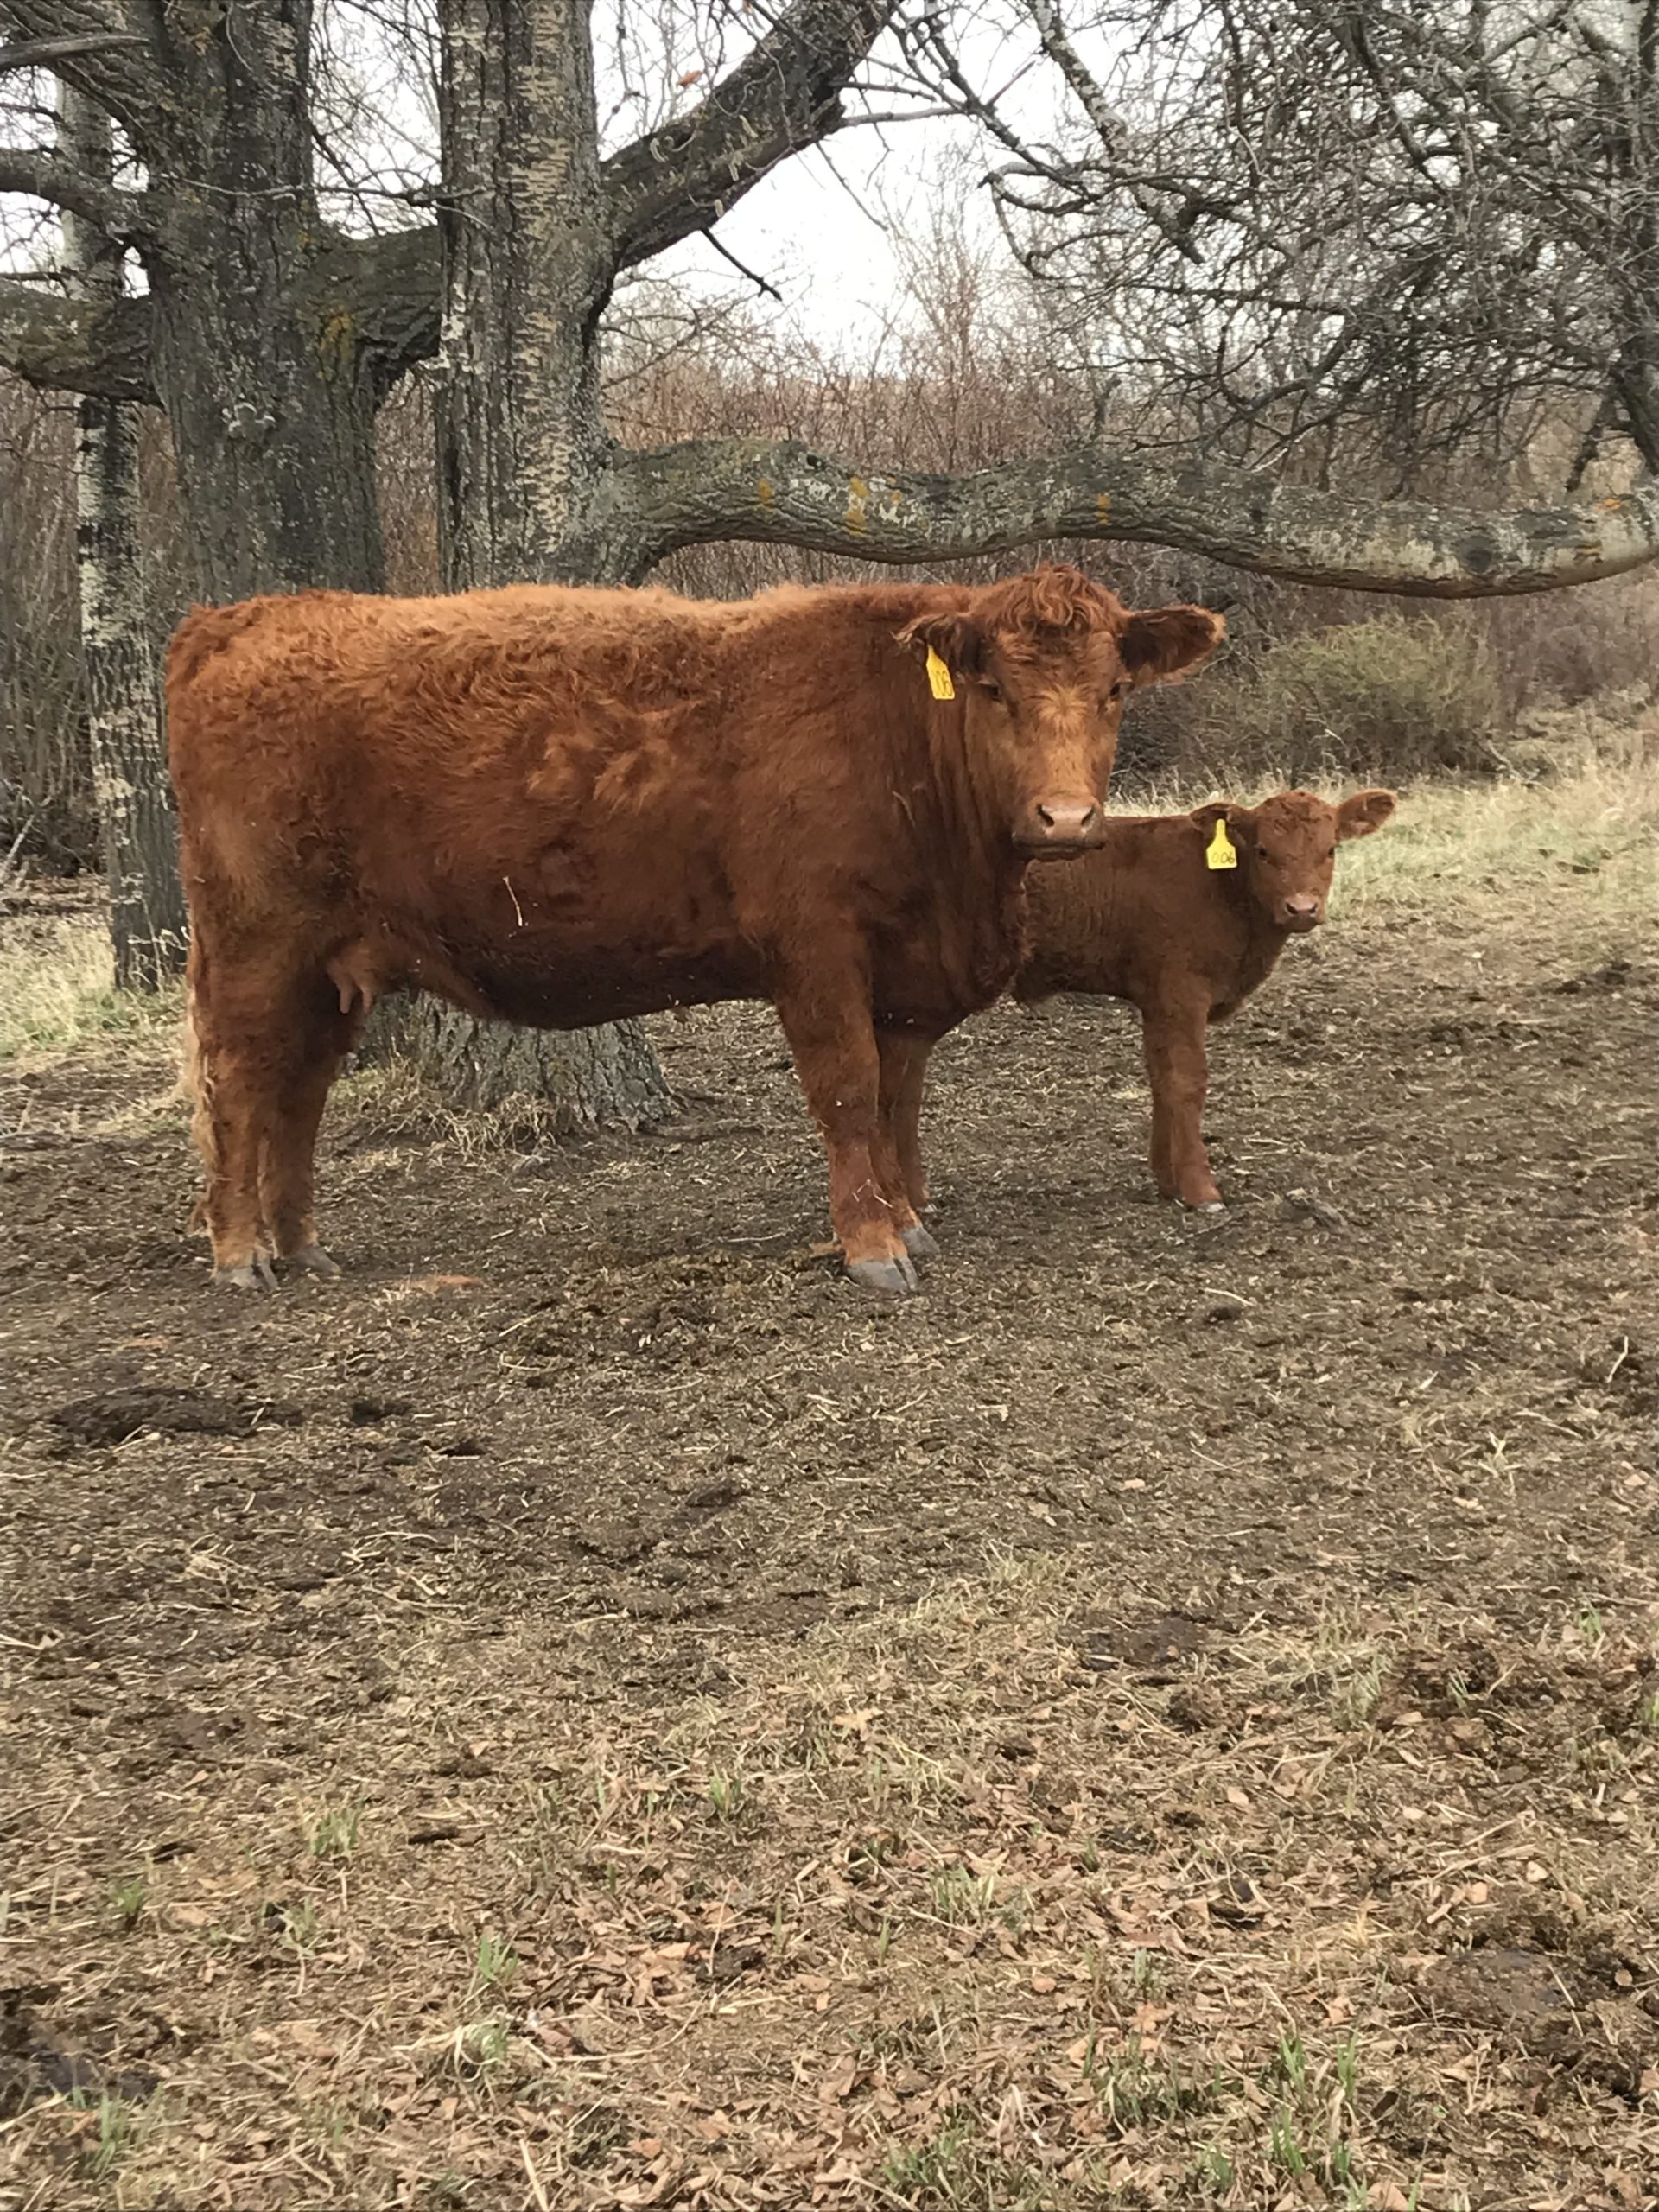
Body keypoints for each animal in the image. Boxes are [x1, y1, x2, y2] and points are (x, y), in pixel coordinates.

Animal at [167, 568, 1224, 1294]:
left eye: (1114, 691)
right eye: (995, 689)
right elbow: (848, 1093)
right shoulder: (816, 954)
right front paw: (872, 1247)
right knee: (238, 1086)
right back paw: (239, 1253)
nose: (1065, 820)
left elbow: (897, 1103)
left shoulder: (902, 978)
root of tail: (242, 619)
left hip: (330, 969)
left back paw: (302, 1244)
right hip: (257, 946)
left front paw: (906, 1218)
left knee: (298, 1095)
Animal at [873, 787, 1396, 1223]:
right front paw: (1201, 1189)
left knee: (907, 1087)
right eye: (1264, 851)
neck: (1224, 892)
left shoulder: (1158, 1000)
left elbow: (1162, 1078)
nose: (1302, 908)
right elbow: (1187, 1082)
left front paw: (1168, 1181)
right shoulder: (1182, 993)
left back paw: (916, 1194)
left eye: (1330, 850)